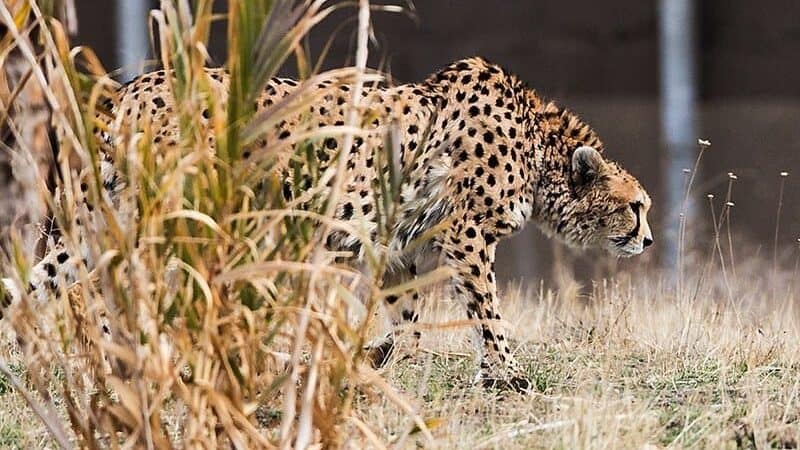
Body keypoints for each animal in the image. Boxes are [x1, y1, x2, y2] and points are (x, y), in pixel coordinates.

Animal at [1, 57, 653, 391]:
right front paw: (507, 376)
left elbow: (408, 316)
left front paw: (385, 359)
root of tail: (134, 88)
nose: (647, 238)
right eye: (637, 206)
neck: (542, 150)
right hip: (189, 213)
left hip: (108, 216)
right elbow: (487, 313)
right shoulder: (465, 234)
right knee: (134, 290)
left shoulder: (397, 240)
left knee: (43, 282)